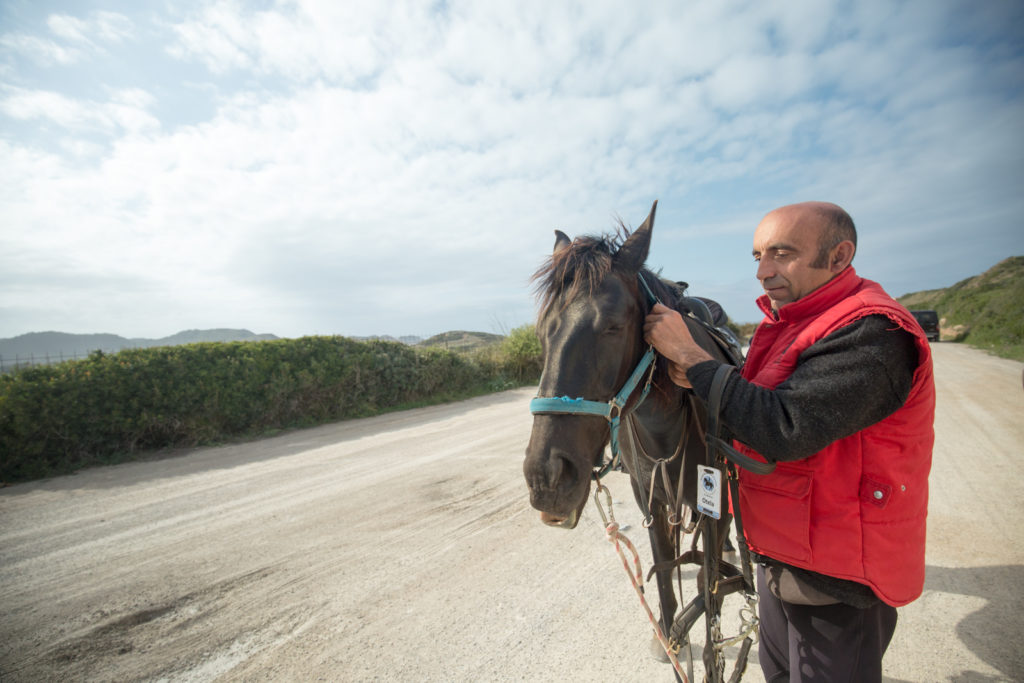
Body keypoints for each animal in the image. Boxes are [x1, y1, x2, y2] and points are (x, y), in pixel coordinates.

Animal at [524, 200, 757, 679]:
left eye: (614, 325)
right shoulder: (650, 500)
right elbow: (666, 590)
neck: (663, 422)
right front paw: (670, 635)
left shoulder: (718, 502)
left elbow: (710, 594)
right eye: (541, 332)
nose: (546, 479)